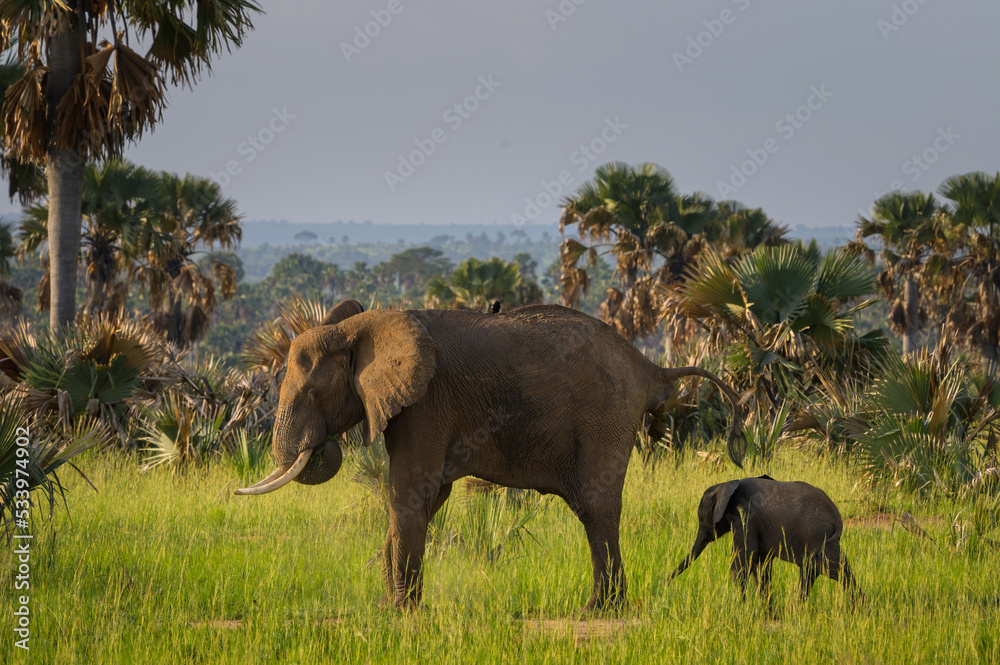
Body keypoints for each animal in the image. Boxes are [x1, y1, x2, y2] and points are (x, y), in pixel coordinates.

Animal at [236, 299, 745, 611]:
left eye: (313, 392)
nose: (320, 444)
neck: (360, 327)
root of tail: (648, 367)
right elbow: (428, 497)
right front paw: (388, 607)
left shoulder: (425, 403)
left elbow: (409, 493)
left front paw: (401, 610)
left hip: (605, 416)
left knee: (597, 509)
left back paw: (599, 609)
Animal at [668, 475, 863, 604]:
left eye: (701, 519)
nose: (665, 583)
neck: (727, 484)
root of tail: (836, 514)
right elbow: (761, 567)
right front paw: (766, 615)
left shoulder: (745, 519)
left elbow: (741, 564)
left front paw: (741, 610)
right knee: (831, 571)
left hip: (816, 535)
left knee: (828, 571)